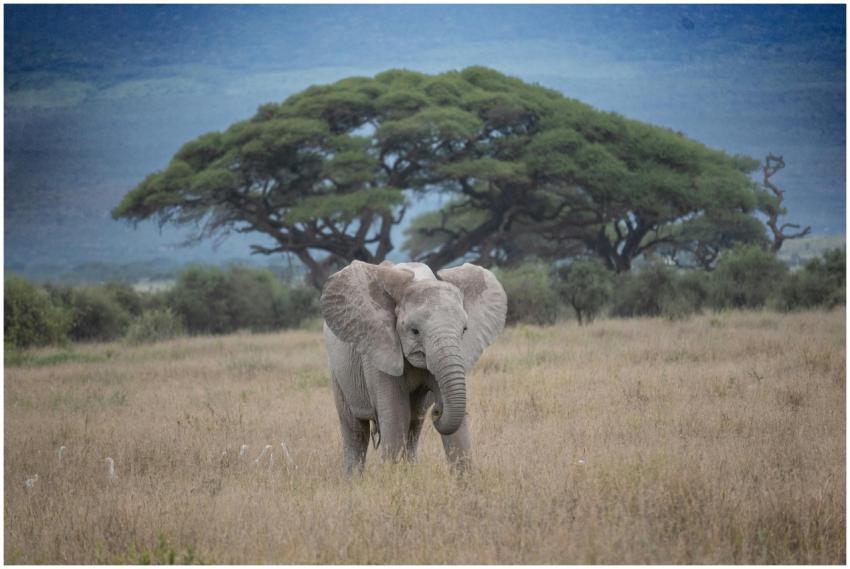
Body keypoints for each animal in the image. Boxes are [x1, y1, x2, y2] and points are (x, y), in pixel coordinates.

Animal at [320, 260, 507, 474]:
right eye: (415, 331)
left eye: (464, 330)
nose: (437, 410)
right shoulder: (381, 350)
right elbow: (396, 417)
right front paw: (394, 479)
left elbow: (456, 431)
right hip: (338, 370)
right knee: (356, 430)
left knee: (414, 426)